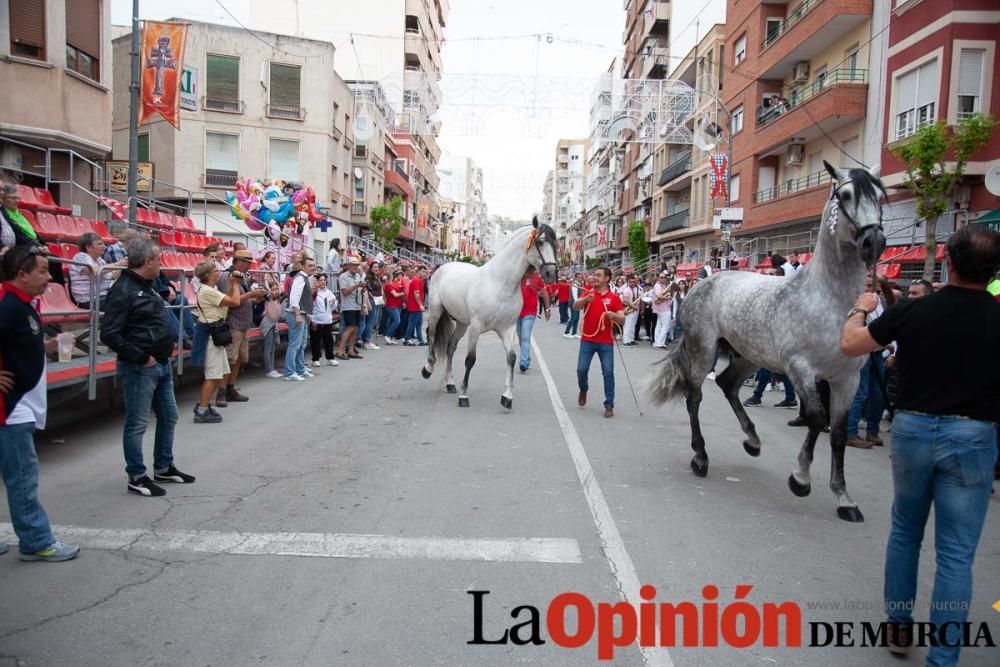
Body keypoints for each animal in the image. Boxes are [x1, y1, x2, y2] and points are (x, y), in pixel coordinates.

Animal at [652, 162, 888, 520]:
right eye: (846, 194)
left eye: (880, 194)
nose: (873, 242)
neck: (829, 302)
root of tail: (703, 283)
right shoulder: (800, 369)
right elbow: (817, 417)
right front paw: (800, 479)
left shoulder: (847, 378)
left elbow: (838, 433)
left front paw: (844, 498)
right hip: (704, 348)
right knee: (695, 396)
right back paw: (701, 457)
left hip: (749, 355)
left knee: (728, 384)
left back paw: (752, 441)